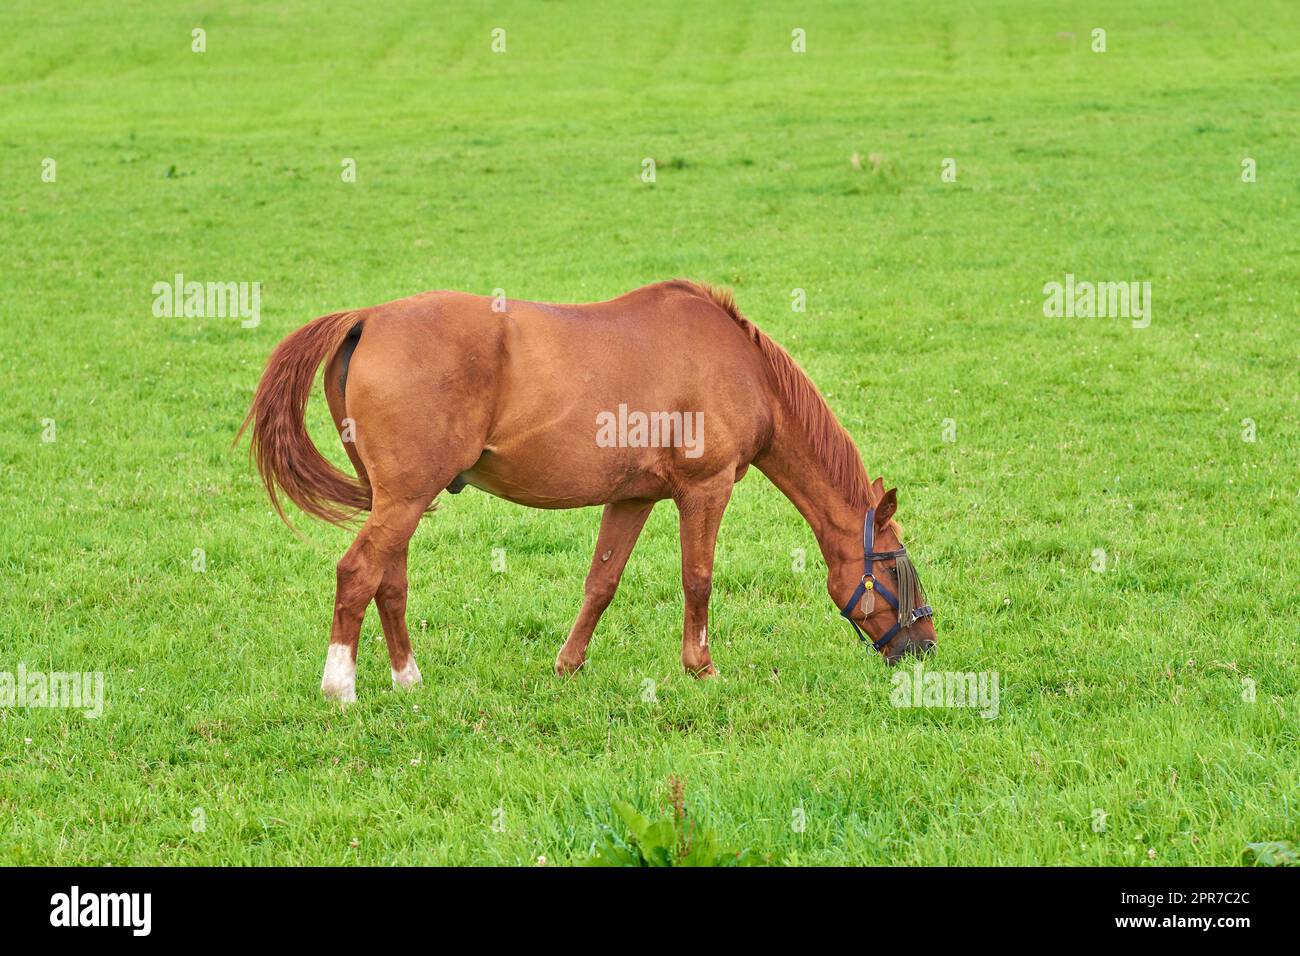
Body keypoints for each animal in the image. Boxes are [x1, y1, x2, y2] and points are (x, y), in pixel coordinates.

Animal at [239, 278, 935, 702]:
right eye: (896, 567)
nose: (925, 646)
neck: (743, 368)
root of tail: (368, 318)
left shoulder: (632, 497)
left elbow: (602, 581)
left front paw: (568, 665)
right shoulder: (704, 490)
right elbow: (698, 579)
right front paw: (702, 668)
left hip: (399, 501)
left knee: (390, 581)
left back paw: (408, 679)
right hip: (404, 499)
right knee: (358, 572)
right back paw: (340, 687)